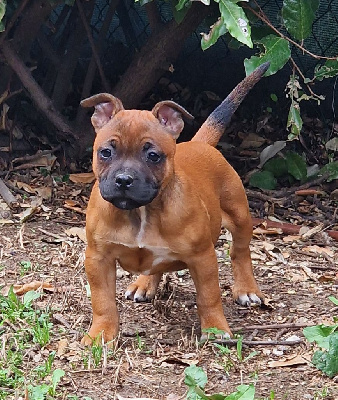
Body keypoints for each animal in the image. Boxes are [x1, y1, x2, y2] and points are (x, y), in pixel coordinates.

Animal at [80, 61, 268, 344]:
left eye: (153, 156)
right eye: (106, 152)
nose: (124, 179)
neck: (141, 212)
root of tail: (199, 143)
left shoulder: (203, 258)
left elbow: (209, 297)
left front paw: (215, 328)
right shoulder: (98, 258)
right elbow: (102, 301)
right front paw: (101, 333)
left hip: (240, 216)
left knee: (240, 251)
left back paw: (246, 288)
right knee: (154, 265)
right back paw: (144, 284)